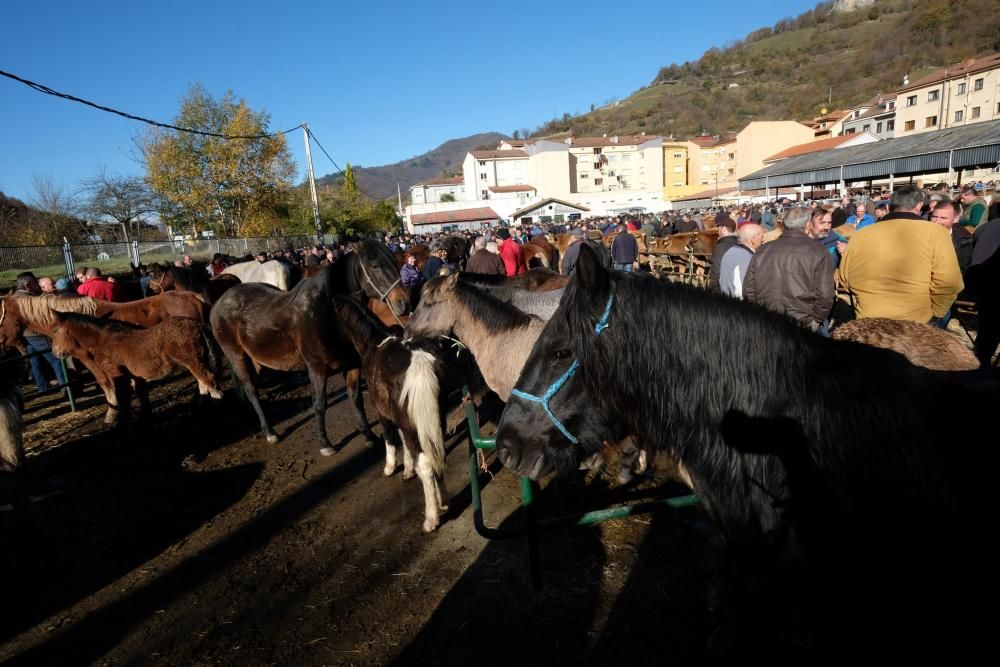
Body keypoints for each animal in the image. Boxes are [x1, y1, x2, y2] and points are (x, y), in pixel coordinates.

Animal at [49, 314, 223, 428]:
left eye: (56, 330)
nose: (55, 352)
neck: (103, 340)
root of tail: (199, 325)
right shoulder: (135, 376)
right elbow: (141, 394)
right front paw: (145, 417)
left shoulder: (117, 375)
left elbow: (123, 398)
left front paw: (123, 423)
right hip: (196, 362)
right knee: (203, 382)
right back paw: (199, 406)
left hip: (193, 362)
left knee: (209, 380)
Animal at [212, 237, 410, 456]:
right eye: (374, 266)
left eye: (395, 262)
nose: (404, 302)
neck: (328, 313)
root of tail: (219, 302)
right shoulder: (317, 368)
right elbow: (320, 403)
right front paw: (325, 443)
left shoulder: (352, 364)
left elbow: (356, 398)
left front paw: (368, 434)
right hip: (236, 355)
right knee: (251, 390)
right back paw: (270, 432)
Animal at [334, 298, 448, 532]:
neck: (373, 342)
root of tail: (420, 364)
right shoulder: (402, 420)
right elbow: (403, 441)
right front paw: (407, 470)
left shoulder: (383, 413)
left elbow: (389, 438)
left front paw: (390, 467)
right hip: (433, 418)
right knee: (437, 453)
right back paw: (440, 503)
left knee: (426, 464)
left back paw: (431, 518)